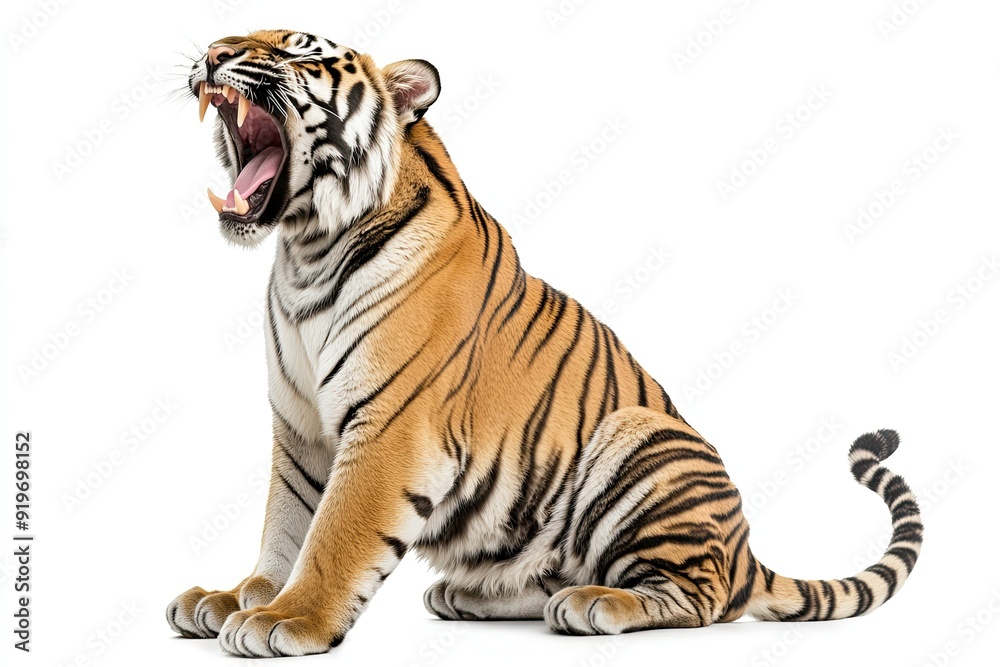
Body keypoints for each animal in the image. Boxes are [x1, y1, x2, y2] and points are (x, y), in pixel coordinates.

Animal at [166, 30, 924, 658]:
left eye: (296, 49)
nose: (211, 52)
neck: (307, 251)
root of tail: (746, 552)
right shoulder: (300, 426)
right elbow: (285, 524)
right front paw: (237, 597)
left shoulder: (389, 426)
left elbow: (334, 533)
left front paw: (286, 619)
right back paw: (474, 594)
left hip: (640, 437)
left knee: (704, 598)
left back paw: (595, 604)